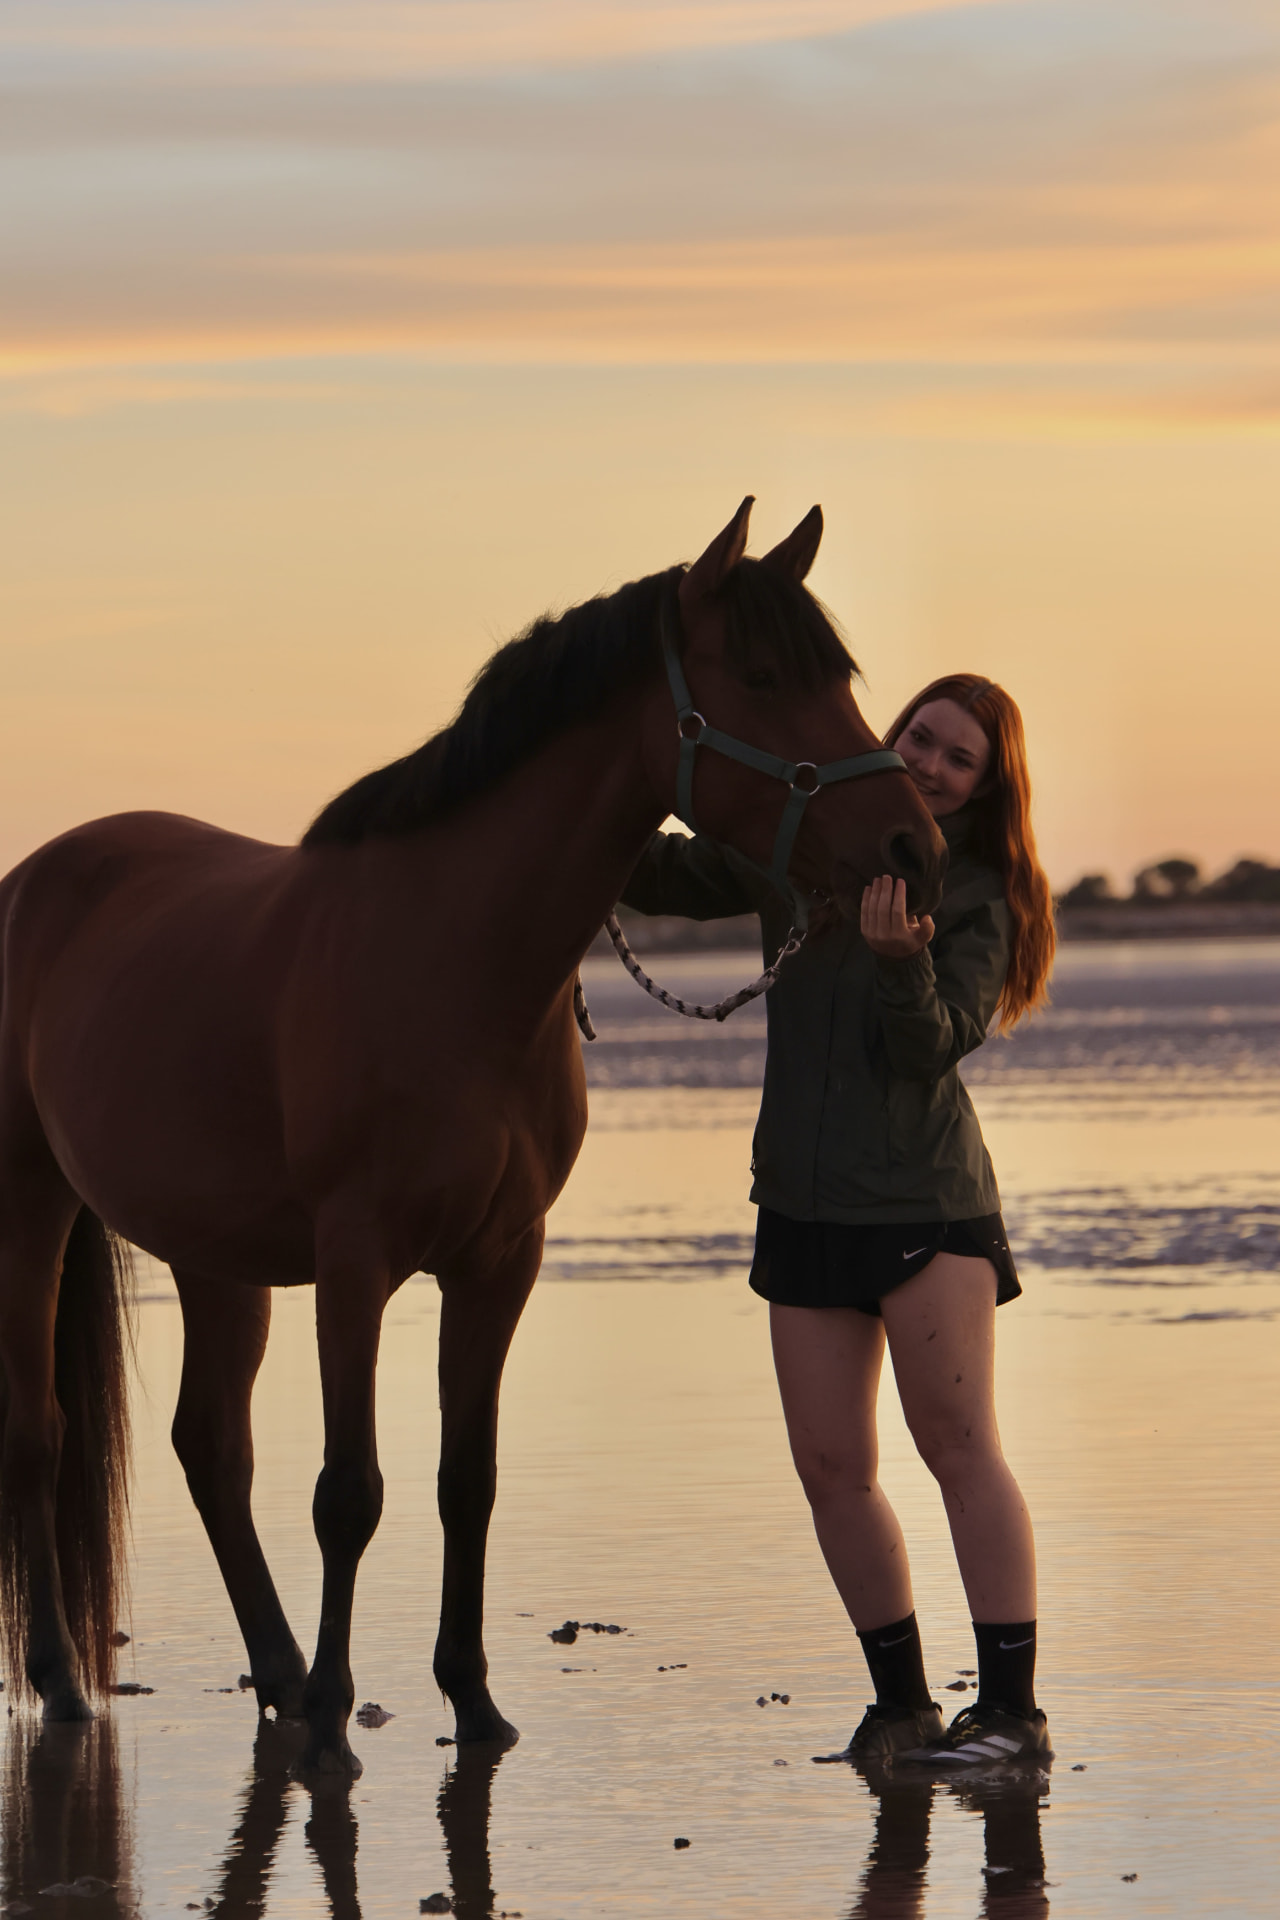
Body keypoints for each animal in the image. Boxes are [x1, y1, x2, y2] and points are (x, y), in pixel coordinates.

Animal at [0, 498, 945, 1774]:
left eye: (837, 675)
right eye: (758, 676)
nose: (913, 849)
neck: (455, 957)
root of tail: (38, 878)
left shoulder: (500, 1263)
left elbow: (468, 1480)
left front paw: (470, 1704)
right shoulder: (355, 1263)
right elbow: (349, 1492)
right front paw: (335, 1723)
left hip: (215, 1252)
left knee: (212, 1449)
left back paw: (277, 1675)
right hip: (33, 1204)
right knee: (40, 1438)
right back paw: (68, 1680)